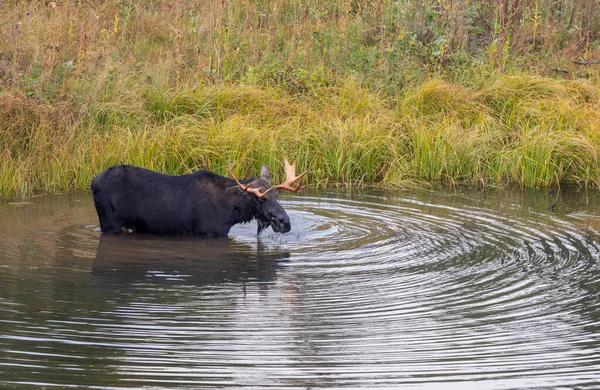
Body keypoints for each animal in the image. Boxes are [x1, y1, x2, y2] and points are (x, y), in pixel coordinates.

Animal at [91, 157, 308, 236]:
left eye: (277, 195)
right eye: (260, 198)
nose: (285, 223)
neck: (232, 213)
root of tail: (93, 182)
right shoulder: (209, 233)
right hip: (110, 224)